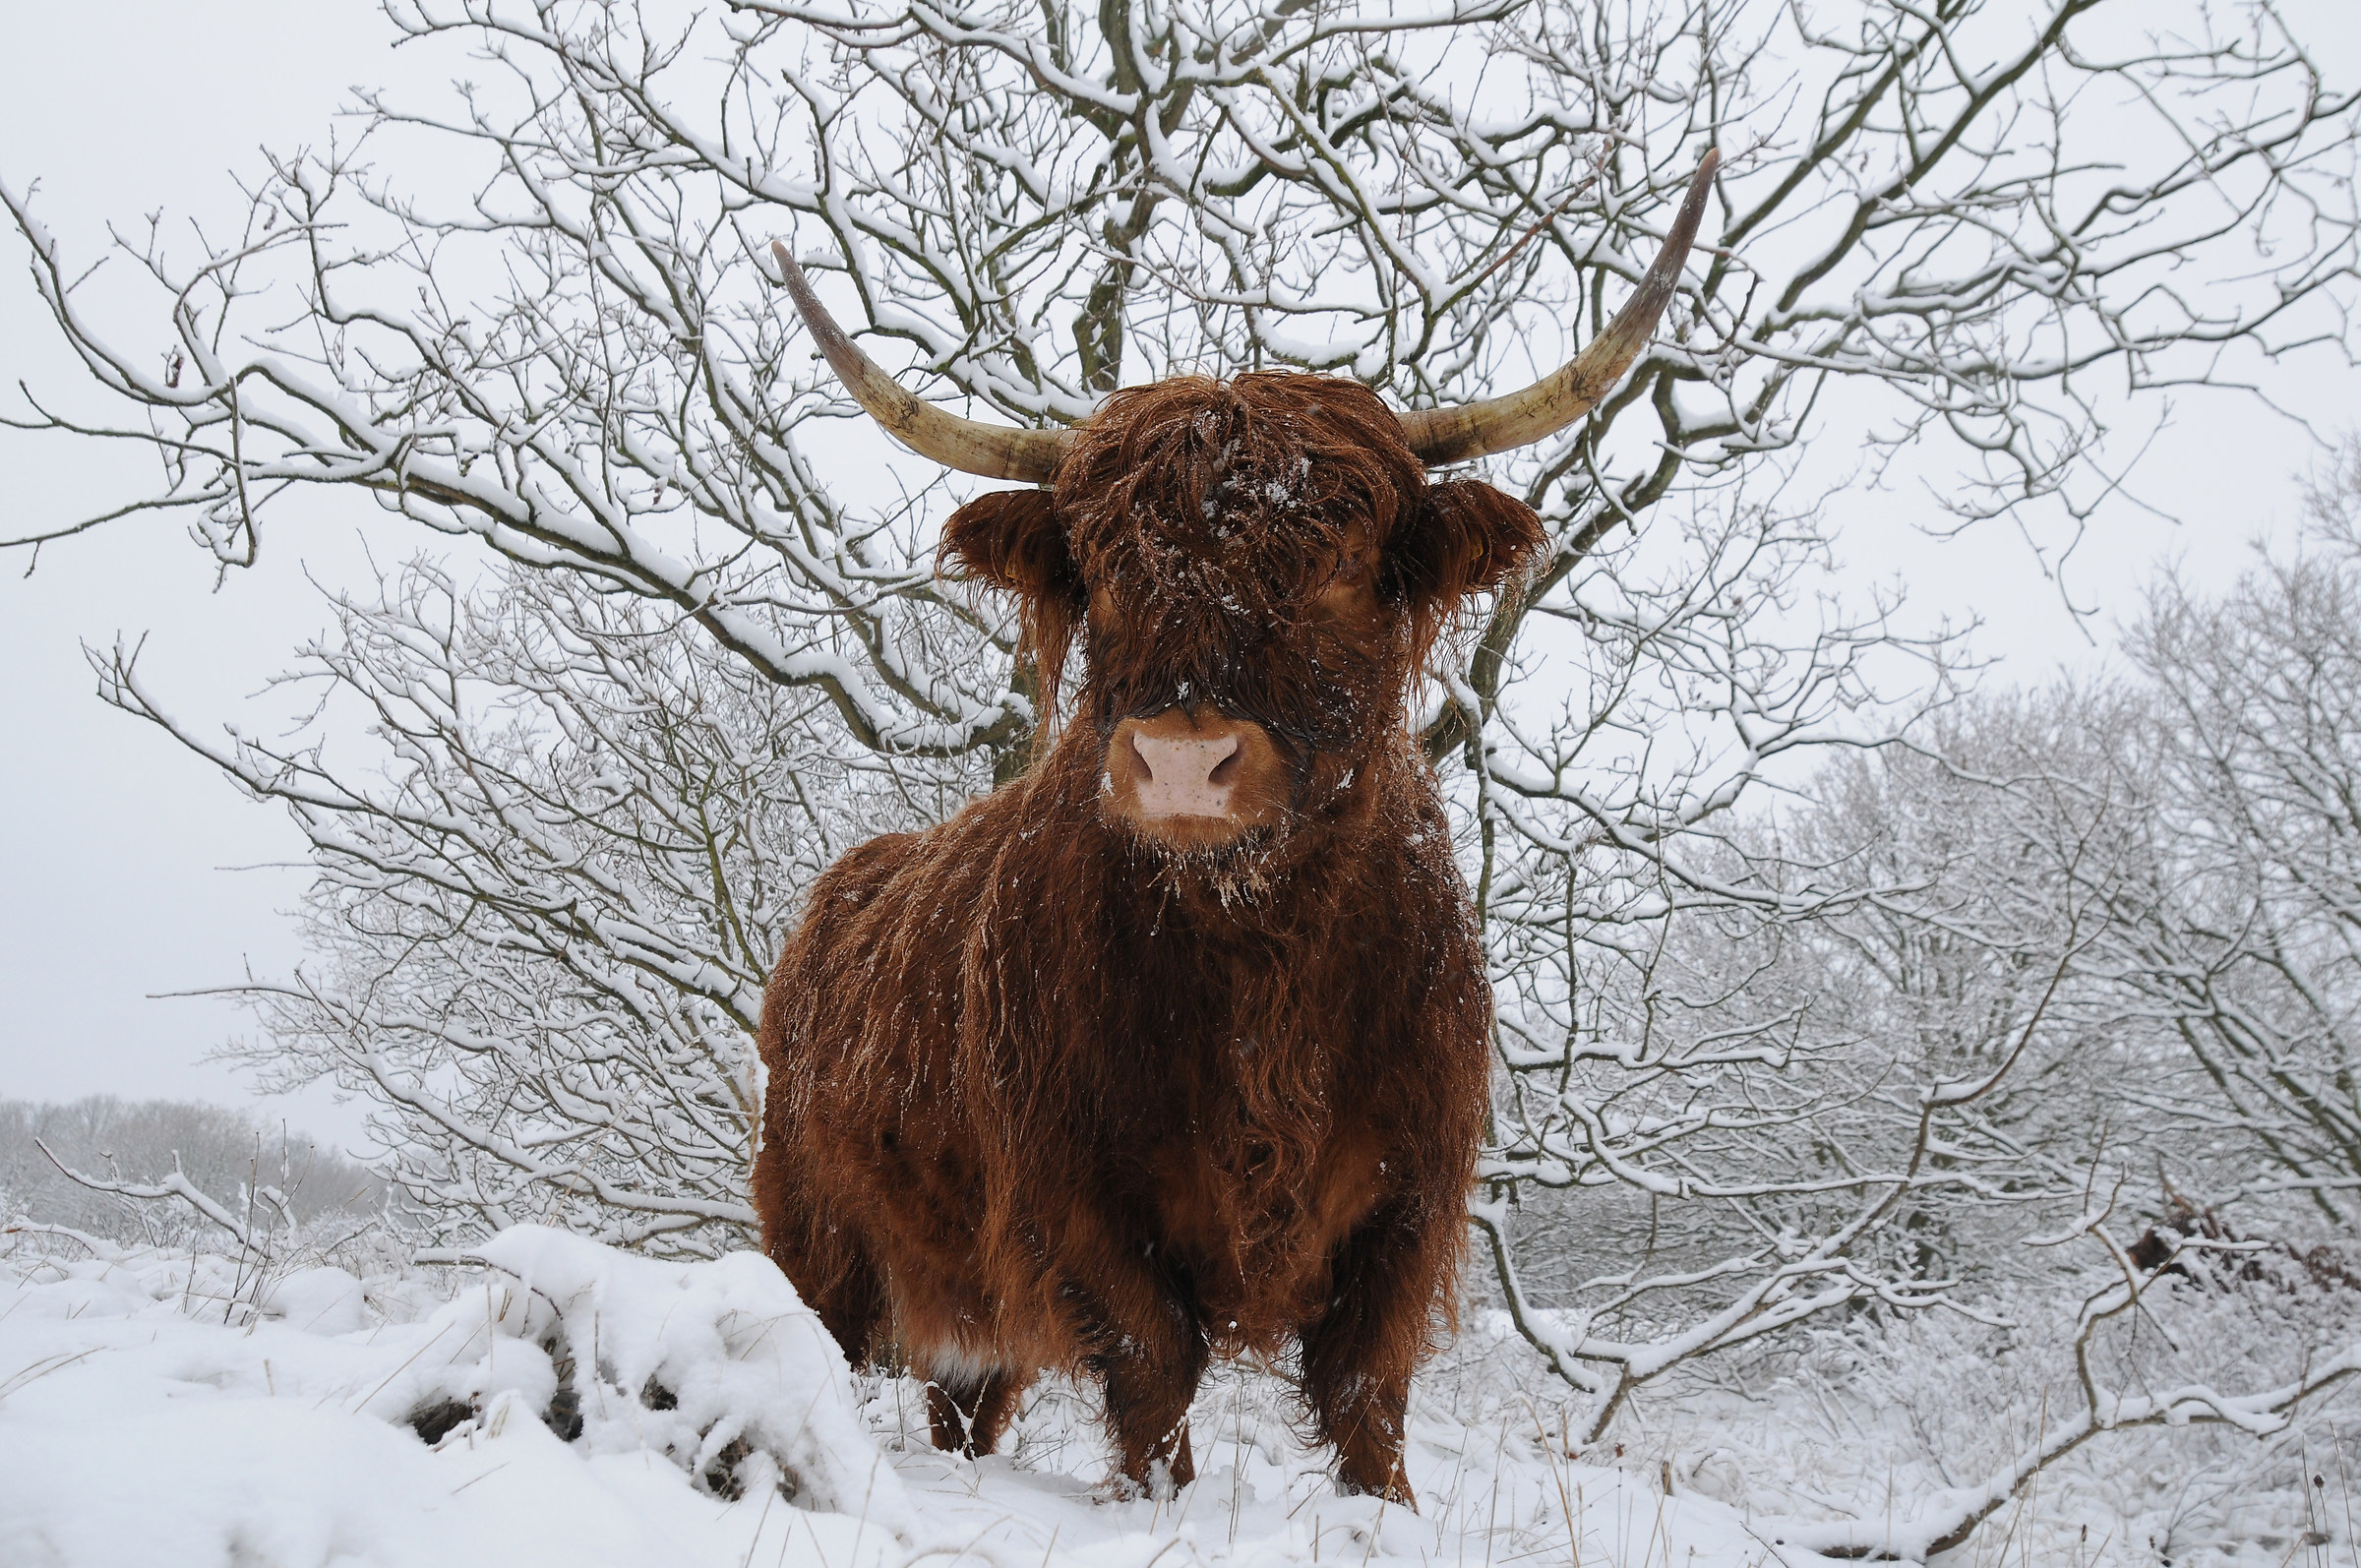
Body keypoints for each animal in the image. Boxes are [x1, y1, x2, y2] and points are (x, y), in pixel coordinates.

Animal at [752, 153, 1718, 1505]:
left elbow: (1367, 1387)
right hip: (819, 1239)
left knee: (966, 1402)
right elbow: (1155, 1364)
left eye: (1339, 559)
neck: (1262, 951)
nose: (1179, 762)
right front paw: (1161, 1502)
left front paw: (1383, 1508)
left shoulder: (1412, 1196)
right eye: (1101, 565)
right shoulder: (1071, 1193)